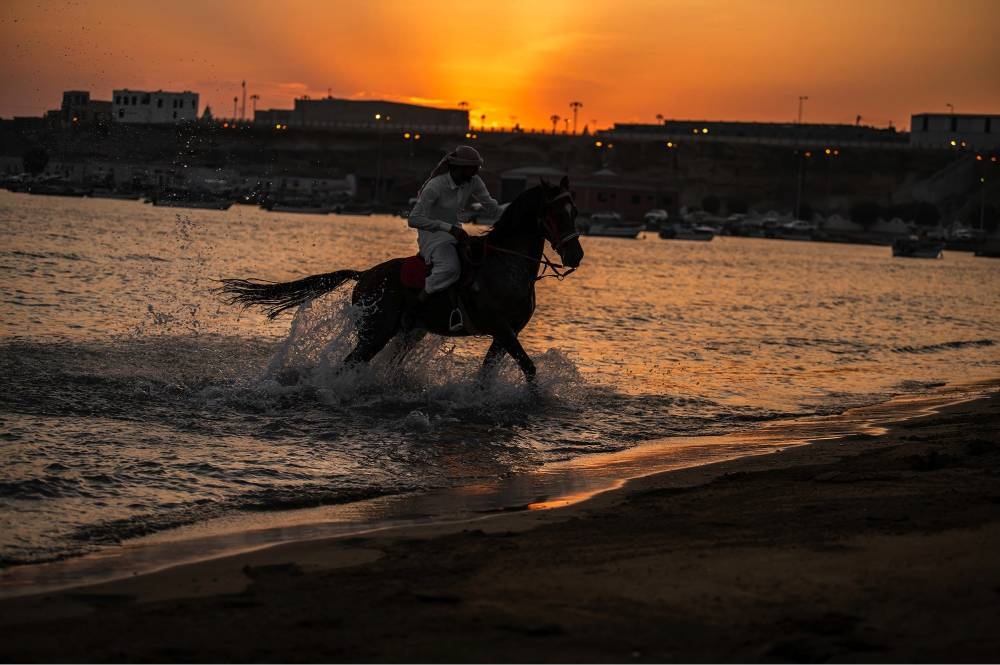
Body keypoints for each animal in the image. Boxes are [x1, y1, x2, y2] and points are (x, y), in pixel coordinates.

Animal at [217, 176, 580, 384]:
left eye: (574, 211)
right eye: (555, 213)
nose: (575, 256)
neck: (506, 263)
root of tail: (364, 275)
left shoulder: (508, 331)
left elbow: (491, 373)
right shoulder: (501, 328)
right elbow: (529, 368)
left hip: (407, 332)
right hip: (375, 331)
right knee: (349, 365)